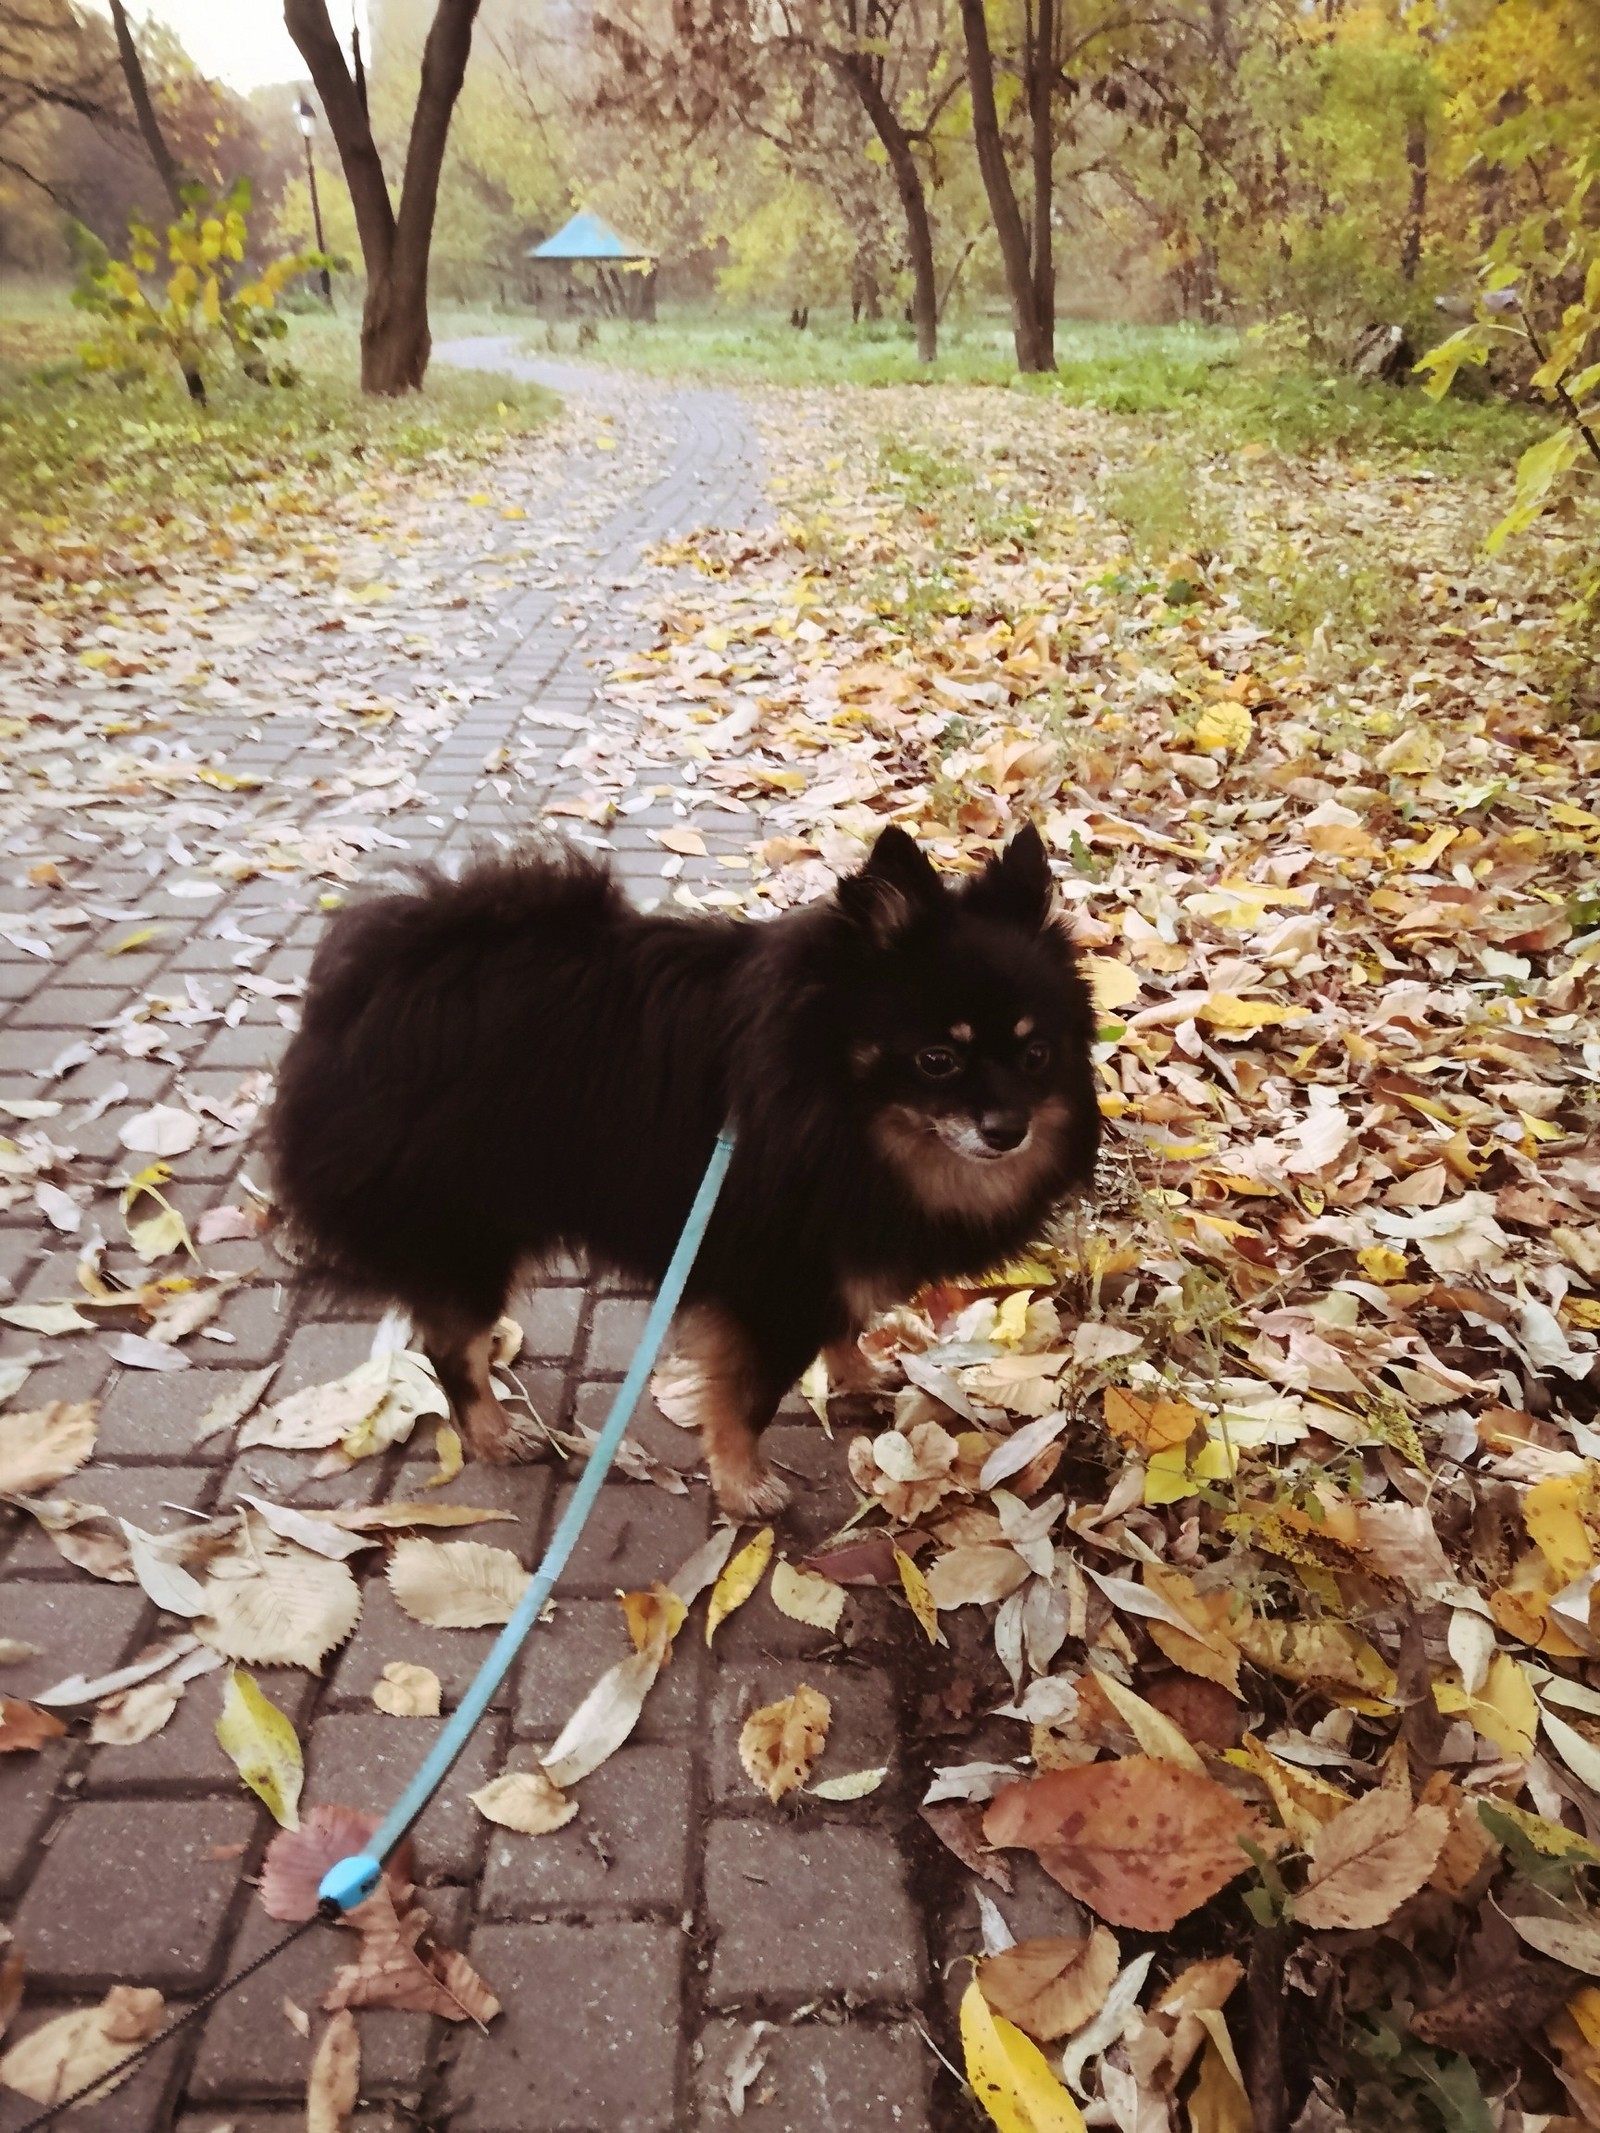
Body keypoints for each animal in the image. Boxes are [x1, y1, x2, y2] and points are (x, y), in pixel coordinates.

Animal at [269, 819, 1109, 1518]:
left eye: (1036, 1054)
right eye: (939, 1059)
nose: (1008, 1129)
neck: (833, 1108)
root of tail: (373, 984)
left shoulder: (826, 1253)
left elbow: (844, 1326)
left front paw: (856, 1377)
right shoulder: (771, 1283)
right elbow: (746, 1403)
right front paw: (743, 1484)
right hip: (466, 1230)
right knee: (454, 1347)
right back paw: (494, 1433)